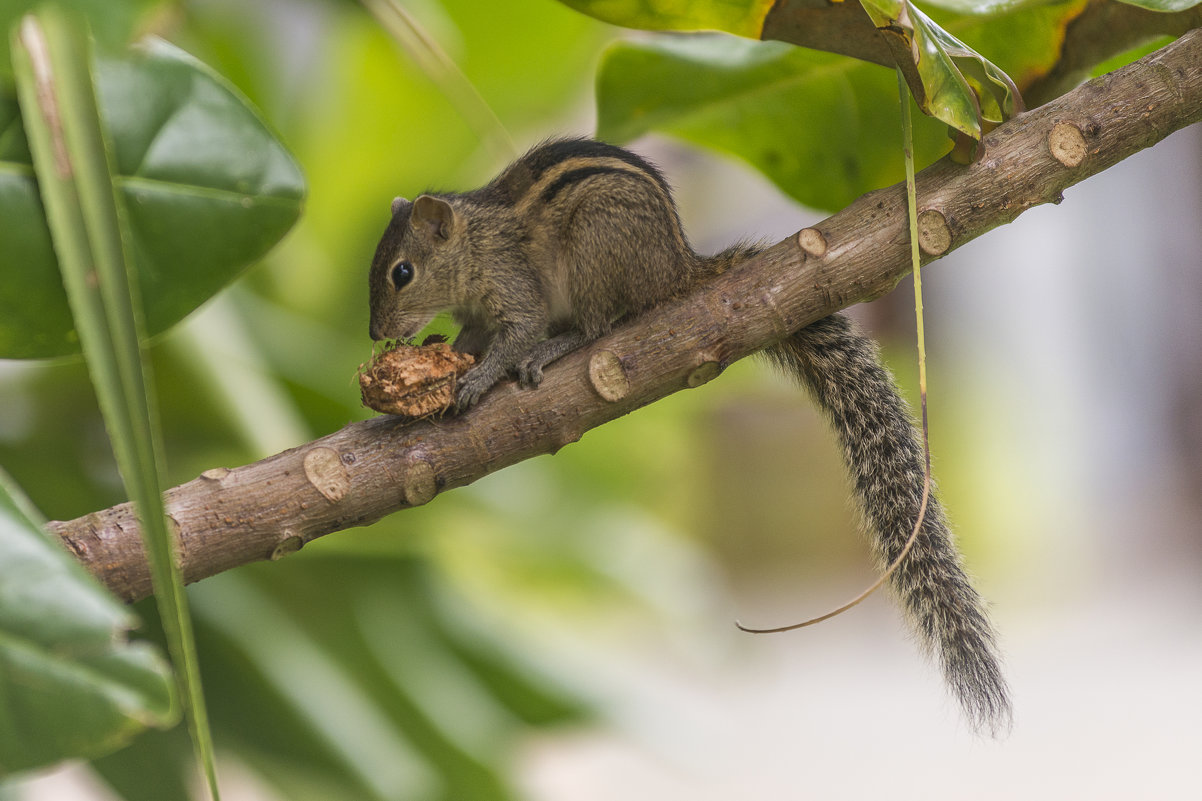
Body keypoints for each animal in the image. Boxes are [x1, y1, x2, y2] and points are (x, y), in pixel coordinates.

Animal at [370, 137, 1009, 731]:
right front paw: (444, 363)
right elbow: (474, 337)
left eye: (402, 272)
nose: (375, 332)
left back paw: (558, 345)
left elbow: (517, 333)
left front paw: (478, 378)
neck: (474, 243)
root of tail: (678, 268)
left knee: (599, 324)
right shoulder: (479, 311)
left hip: (595, 250)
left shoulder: (513, 287)